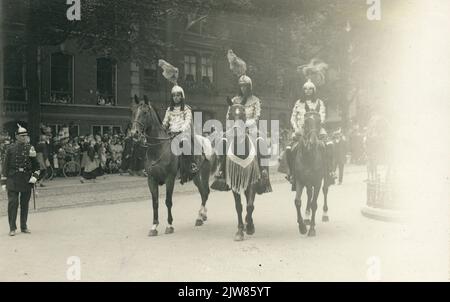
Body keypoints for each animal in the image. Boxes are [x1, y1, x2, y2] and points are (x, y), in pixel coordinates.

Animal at [130, 99, 216, 236]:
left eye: (145, 112)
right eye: (133, 111)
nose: (134, 133)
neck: (158, 149)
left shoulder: (169, 179)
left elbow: (168, 201)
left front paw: (169, 225)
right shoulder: (151, 180)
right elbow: (155, 203)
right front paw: (154, 226)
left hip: (203, 173)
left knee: (205, 193)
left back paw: (200, 216)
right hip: (195, 176)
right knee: (203, 193)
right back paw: (202, 216)